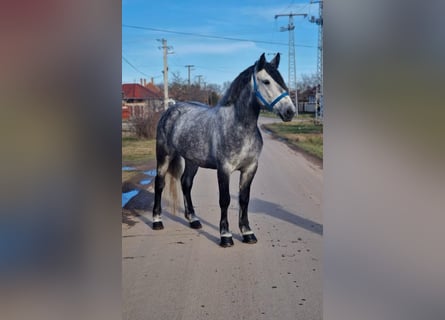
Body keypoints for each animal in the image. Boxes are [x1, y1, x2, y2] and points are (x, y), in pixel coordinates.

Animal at [153, 53, 294, 248]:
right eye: (266, 81)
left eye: (282, 80)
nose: (290, 111)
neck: (238, 126)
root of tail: (171, 110)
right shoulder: (224, 169)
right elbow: (225, 200)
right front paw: (225, 236)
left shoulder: (250, 169)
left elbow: (244, 199)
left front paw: (247, 233)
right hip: (164, 156)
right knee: (159, 184)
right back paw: (157, 221)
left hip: (192, 161)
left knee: (186, 183)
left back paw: (194, 220)